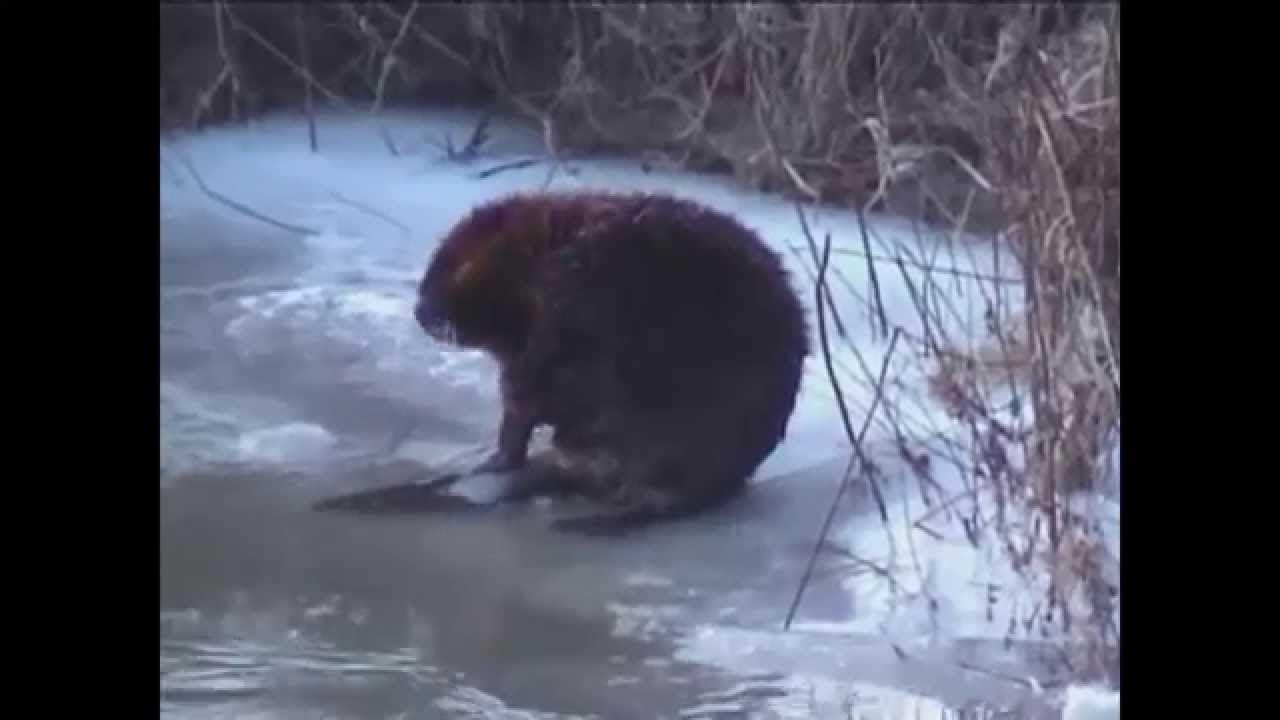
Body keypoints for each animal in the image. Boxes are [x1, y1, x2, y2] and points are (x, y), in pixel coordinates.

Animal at [414, 189, 803, 532]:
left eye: (456, 265)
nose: (420, 312)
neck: (554, 250)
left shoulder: (569, 301)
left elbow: (529, 392)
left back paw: (584, 520)